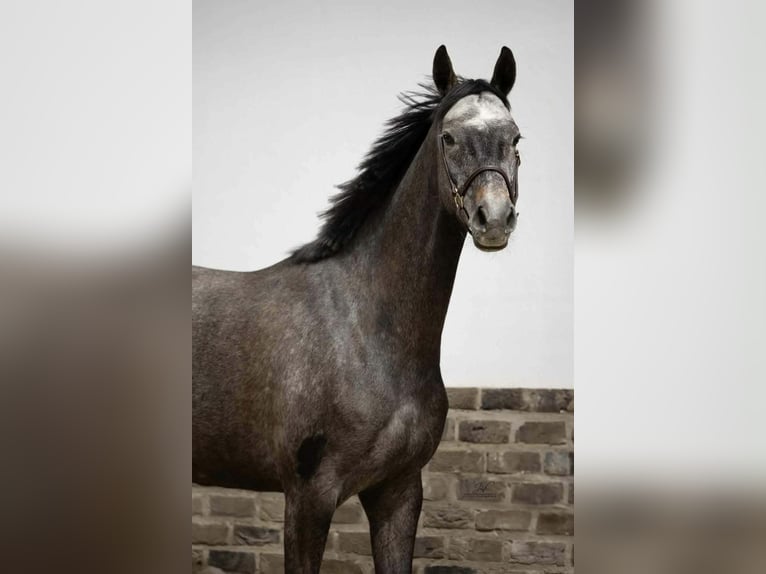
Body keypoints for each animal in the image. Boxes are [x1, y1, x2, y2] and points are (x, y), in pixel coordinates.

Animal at [193, 45, 521, 573]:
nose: (493, 219)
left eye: (515, 138)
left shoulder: (398, 492)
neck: (367, 329)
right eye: (448, 137)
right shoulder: (308, 498)